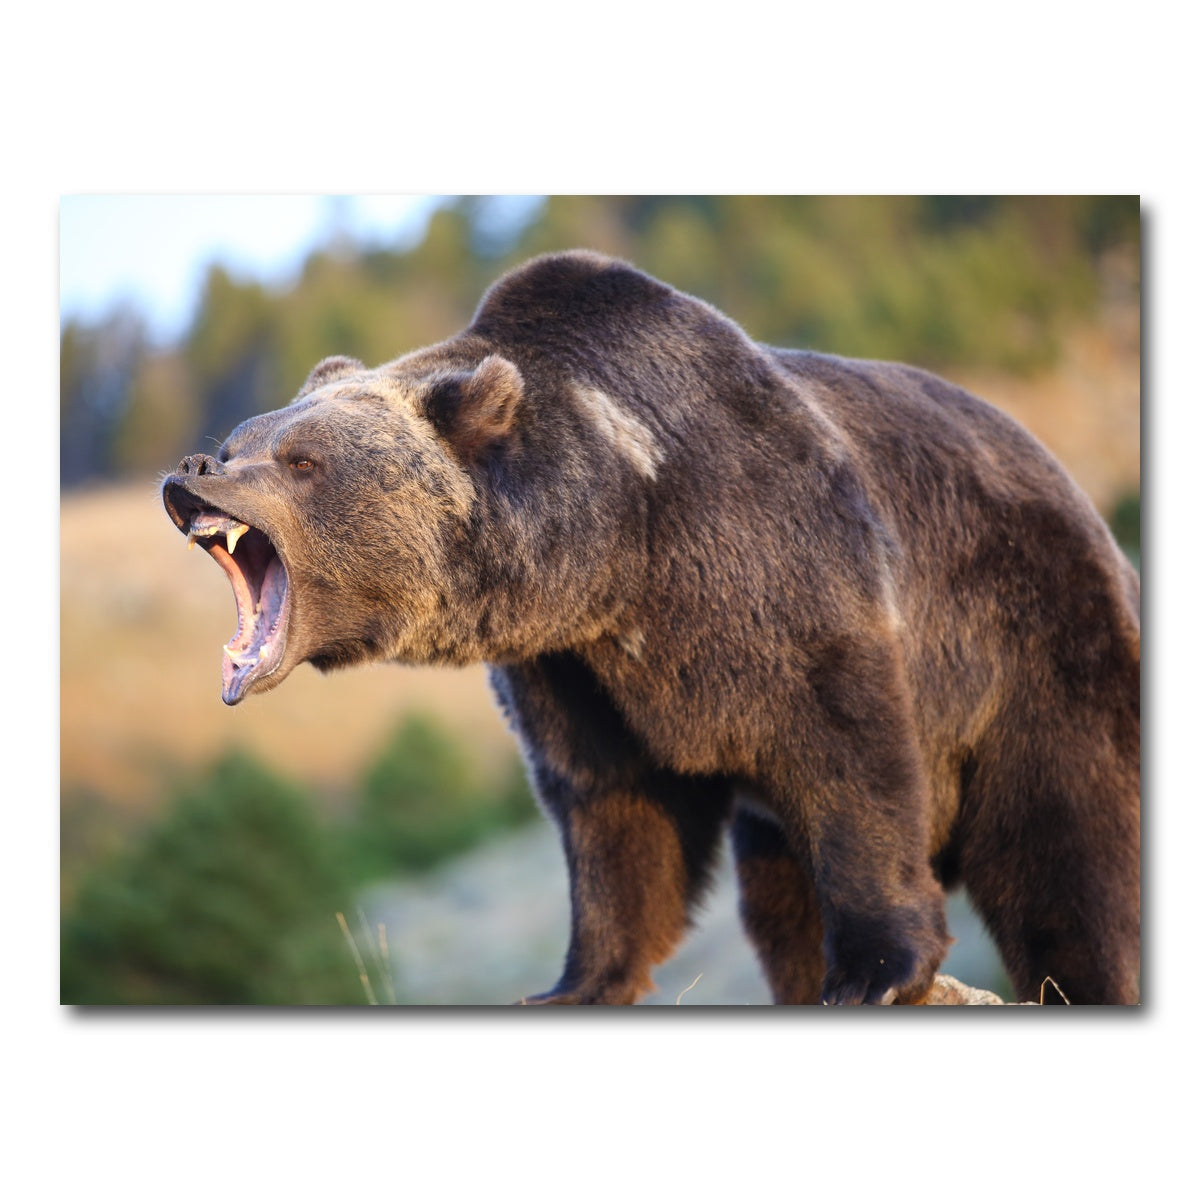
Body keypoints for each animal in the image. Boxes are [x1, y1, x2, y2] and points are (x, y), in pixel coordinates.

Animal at [161, 249, 1141, 1005]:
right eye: (243, 437)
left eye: (300, 460)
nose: (193, 470)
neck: (618, 547)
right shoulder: (575, 669)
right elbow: (612, 810)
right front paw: (574, 981)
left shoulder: (779, 567)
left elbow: (851, 756)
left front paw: (876, 970)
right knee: (778, 899)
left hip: (1039, 646)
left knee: (1069, 856)